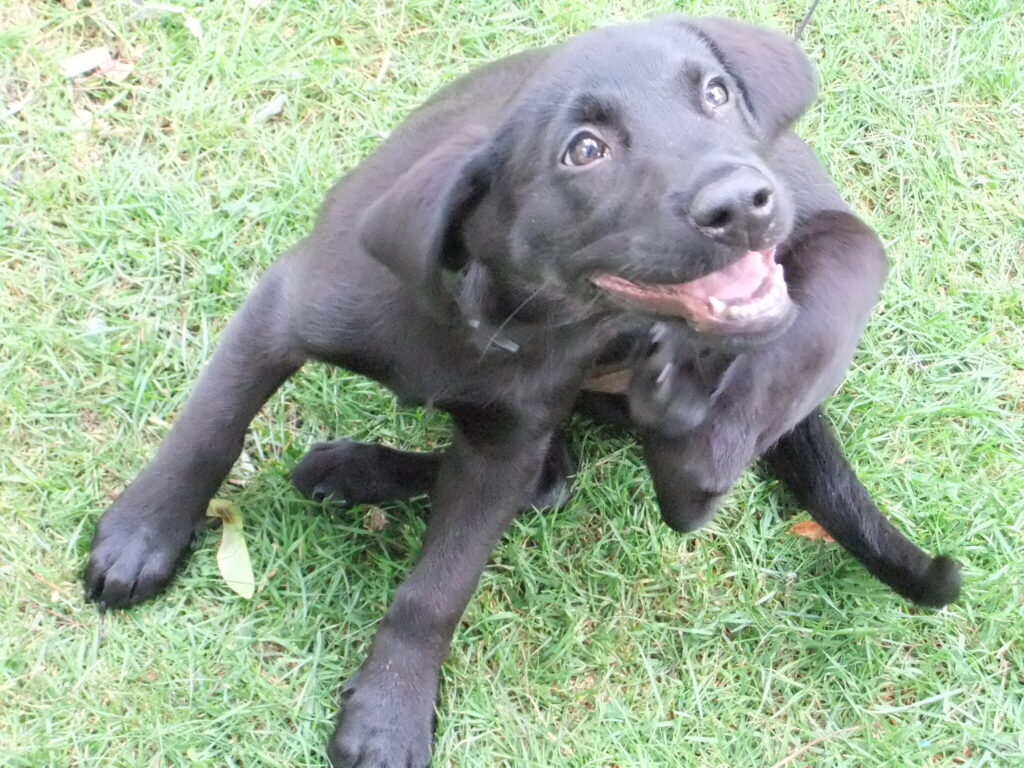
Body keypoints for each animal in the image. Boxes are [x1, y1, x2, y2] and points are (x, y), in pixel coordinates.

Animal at [81, 18, 958, 768]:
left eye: (715, 94)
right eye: (584, 150)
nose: (743, 202)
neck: (498, 315)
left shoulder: (506, 440)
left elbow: (438, 588)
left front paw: (391, 709)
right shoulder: (281, 314)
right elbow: (209, 428)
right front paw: (145, 533)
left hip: (849, 258)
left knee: (676, 481)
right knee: (556, 476)